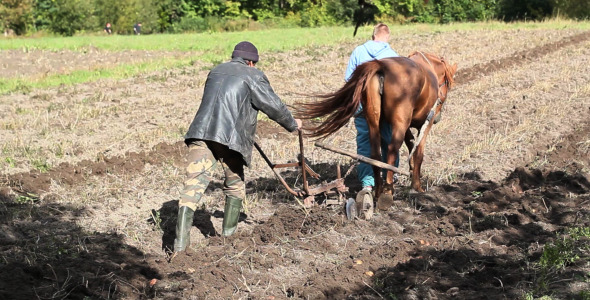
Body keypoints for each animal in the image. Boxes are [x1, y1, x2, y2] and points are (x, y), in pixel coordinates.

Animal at [298, 51, 460, 199]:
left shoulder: (406, 125)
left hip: (374, 120)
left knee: (375, 154)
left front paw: (411, 170)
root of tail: (380, 66)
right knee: (392, 150)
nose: (438, 117)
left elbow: (410, 144)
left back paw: (377, 191)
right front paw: (417, 186)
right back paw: (388, 192)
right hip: (400, 123)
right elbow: (418, 151)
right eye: (448, 84)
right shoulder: (424, 124)